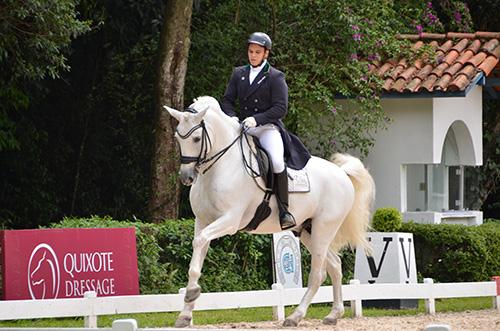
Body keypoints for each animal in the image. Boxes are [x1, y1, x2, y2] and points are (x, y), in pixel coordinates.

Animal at [165, 95, 376, 326]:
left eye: (196, 139)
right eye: (177, 138)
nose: (186, 177)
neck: (220, 167)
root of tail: (341, 173)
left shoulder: (230, 220)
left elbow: (200, 240)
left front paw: (191, 294)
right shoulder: (202, 221)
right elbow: (196, 256)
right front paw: (185, 314)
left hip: (324, 228)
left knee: (318, 274)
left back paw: (295, 316)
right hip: (307, 230)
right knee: (335, 266)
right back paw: (333, 314)